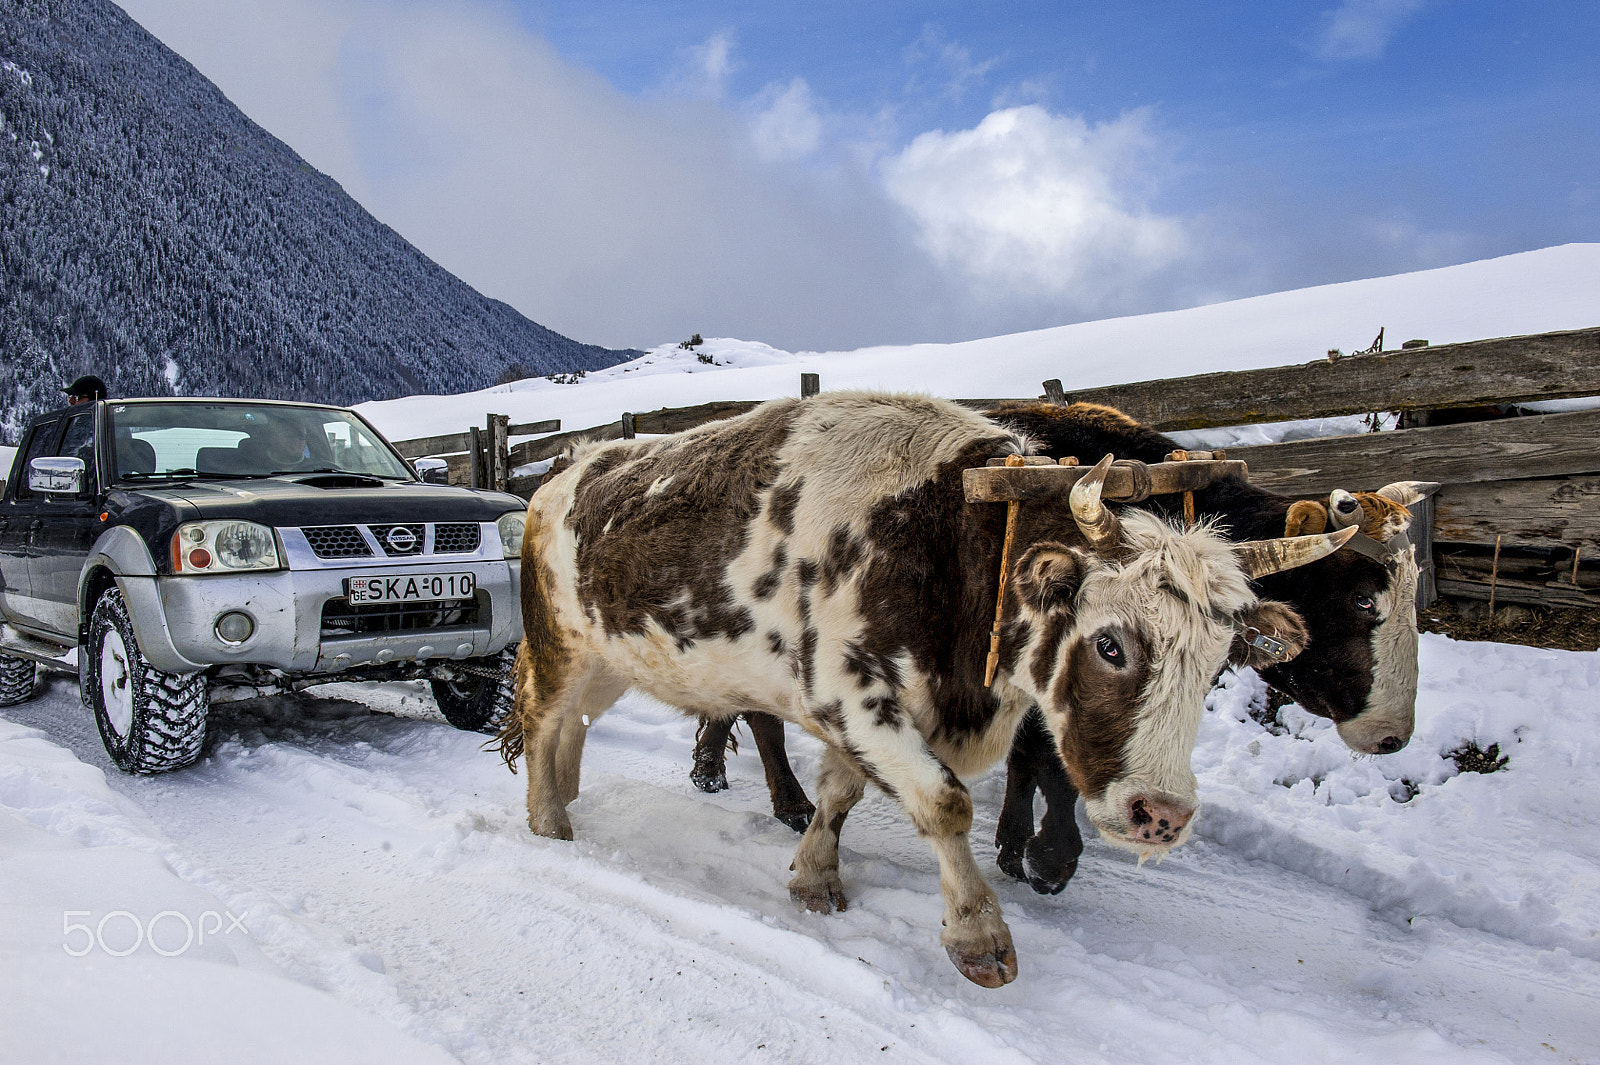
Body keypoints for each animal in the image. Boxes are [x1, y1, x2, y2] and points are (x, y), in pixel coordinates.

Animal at [503, 392, 1350, 986]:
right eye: (1111, 643)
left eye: (1216, 662)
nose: (1162, 814)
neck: (952, 538)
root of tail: (559, 474)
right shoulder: (852, 694)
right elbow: (944, 804)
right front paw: (980, 936)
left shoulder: (878, 712)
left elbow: (842, 793)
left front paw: (815, 875)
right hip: (559, 647)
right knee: (542, 717)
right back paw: (549, 822)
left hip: (609, 664)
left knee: (572, 727)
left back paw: (568, 795)